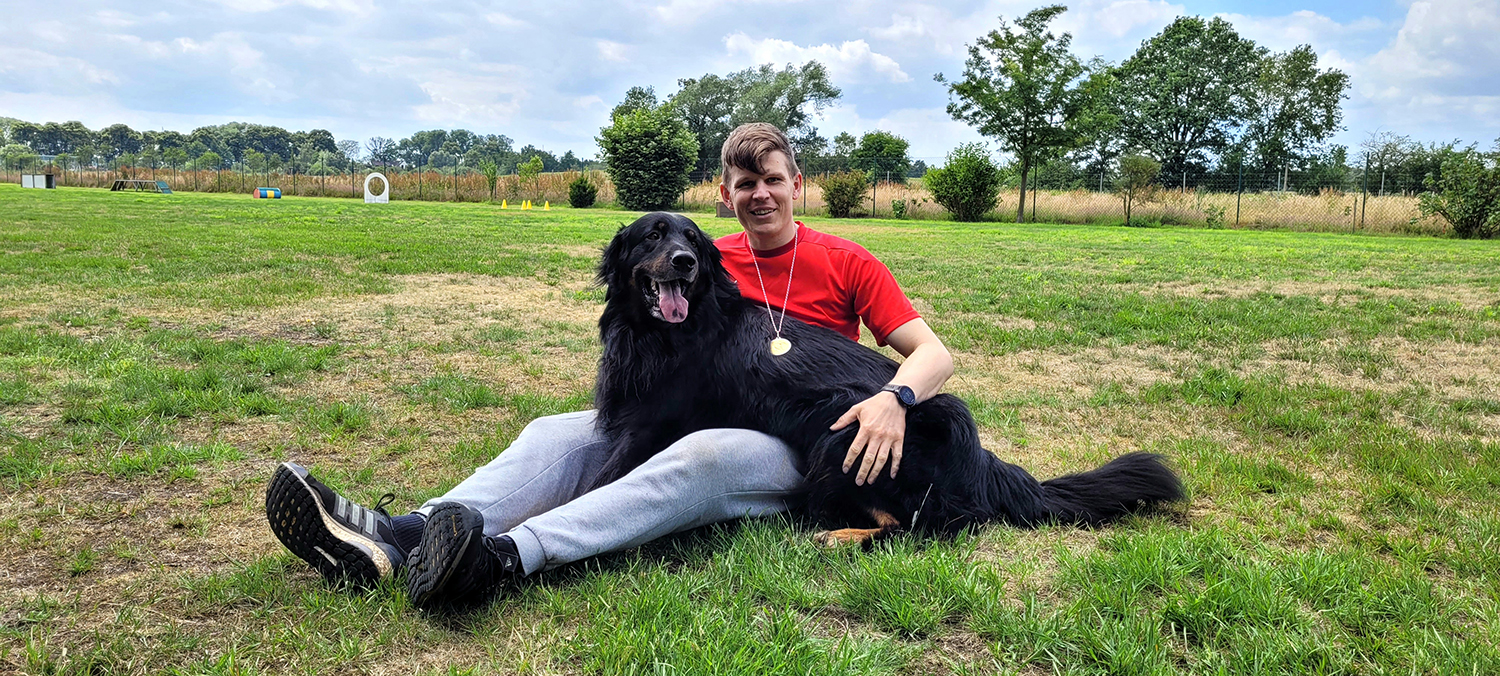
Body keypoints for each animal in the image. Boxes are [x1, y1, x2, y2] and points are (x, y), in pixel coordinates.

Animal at [590, 212, 1184, 546]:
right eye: (653, 237)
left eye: (692, 240)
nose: (685, 262)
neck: (665, 331)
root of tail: (984, 463)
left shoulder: (646, 426)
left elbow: (601, 484)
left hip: (843, 438)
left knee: (931, 527)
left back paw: (839, 536)